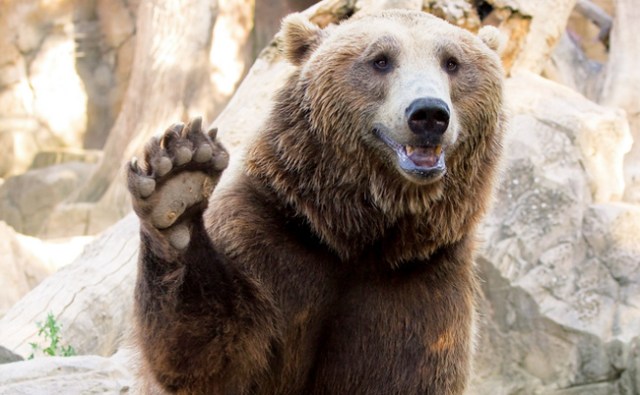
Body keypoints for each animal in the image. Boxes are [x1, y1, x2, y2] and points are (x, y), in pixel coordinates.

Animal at [125, 9, 504, 395]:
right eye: (380, 60)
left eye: (452, 62)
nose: (428, 114)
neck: (359, 236)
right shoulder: (271, 236)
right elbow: (214, 353)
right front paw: (178, 184)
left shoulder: (422, 282)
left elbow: (405, 371)